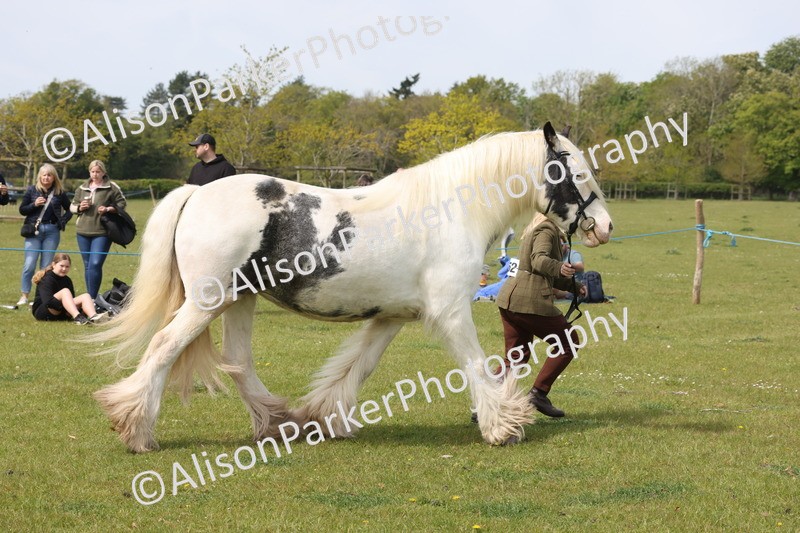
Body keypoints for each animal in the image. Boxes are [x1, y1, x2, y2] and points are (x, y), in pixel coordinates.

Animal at [93, 122, 613, 453]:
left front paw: (325, 418)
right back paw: (137, 430)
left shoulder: (391, 317)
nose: (605, 227)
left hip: (239, 300)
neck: (452, 211)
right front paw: (503, 426)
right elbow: (475, 366)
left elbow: (356, 368)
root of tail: (197, 193)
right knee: (163, 347)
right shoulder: (450, 313)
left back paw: (278, 424)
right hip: (209, 301)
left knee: (238, 361)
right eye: (577, 173)